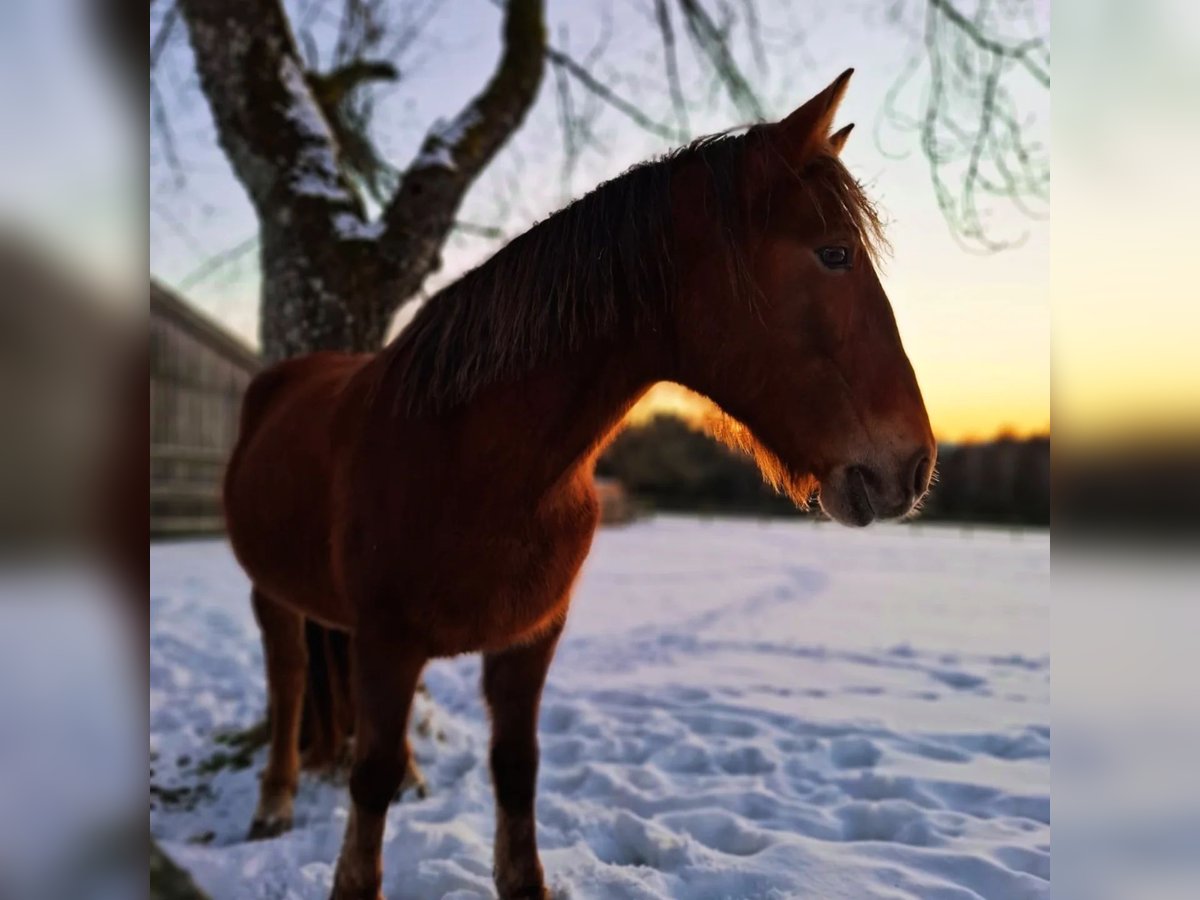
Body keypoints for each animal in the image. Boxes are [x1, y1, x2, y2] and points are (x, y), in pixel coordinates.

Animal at [225, 72, 936, 900]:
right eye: (833, 254)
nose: (913, 466)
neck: (474, 462)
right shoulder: (387, 643)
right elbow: (368, 783)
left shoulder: (530, 640)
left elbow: (515, 772)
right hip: (271, 594)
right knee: (289, 679)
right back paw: (273, 804)